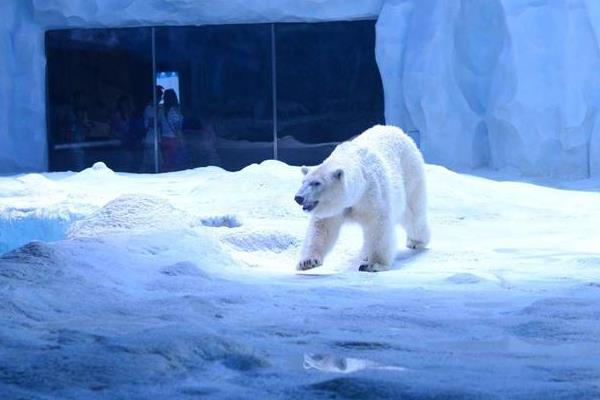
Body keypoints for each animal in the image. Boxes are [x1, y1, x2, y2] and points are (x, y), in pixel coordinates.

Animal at [292, 126, 428, 274]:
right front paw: (307, 262)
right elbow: (321, 228)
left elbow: (378, 226)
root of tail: (398, 130)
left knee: (413, 214)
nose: (298, 198)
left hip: (411, 174)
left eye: (317, 183)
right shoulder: (335, 209)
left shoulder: (372, 195)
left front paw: (373, 265)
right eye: (303, 182)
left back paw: (416, 241)